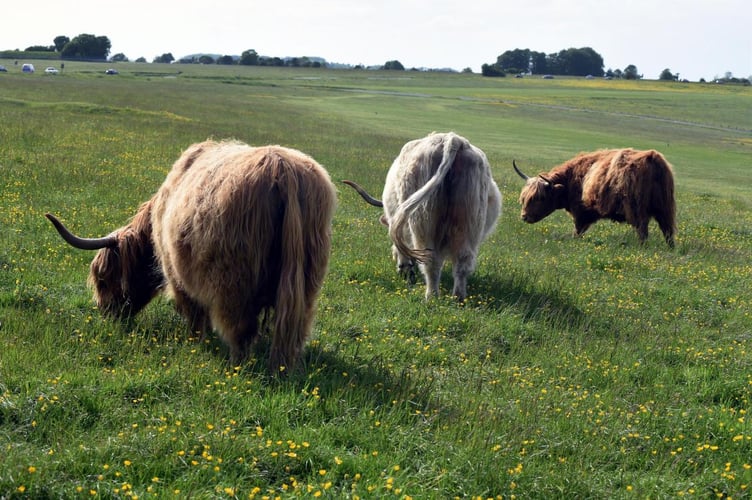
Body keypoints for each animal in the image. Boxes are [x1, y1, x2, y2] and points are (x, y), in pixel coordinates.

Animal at [46, 139, 337, 374]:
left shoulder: (178, 276)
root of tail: (282, 170)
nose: (106, 313)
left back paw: (238, 367)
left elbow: (195, 315)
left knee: (240, 329)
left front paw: (195, 343)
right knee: (294, 329)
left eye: (104, 279)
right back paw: (284, 369)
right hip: (306, 282)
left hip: (235, 285)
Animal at [343, 132, 502, 301]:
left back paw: (431, 297)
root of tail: (452, 139)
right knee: (462, 261)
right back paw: (458, 298)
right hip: (469, 223)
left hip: (422, 220)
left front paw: (405, 270)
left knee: (431, 261)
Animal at [513, 148, 676, 247]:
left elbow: (578, 231)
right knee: (668, 231)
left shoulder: (581, 213)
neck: (571, 179)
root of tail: (652, 157)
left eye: (540, 198)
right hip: (665, 209)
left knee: (643, 231)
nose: (524, 216)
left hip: (638, 210)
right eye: (524, 198)